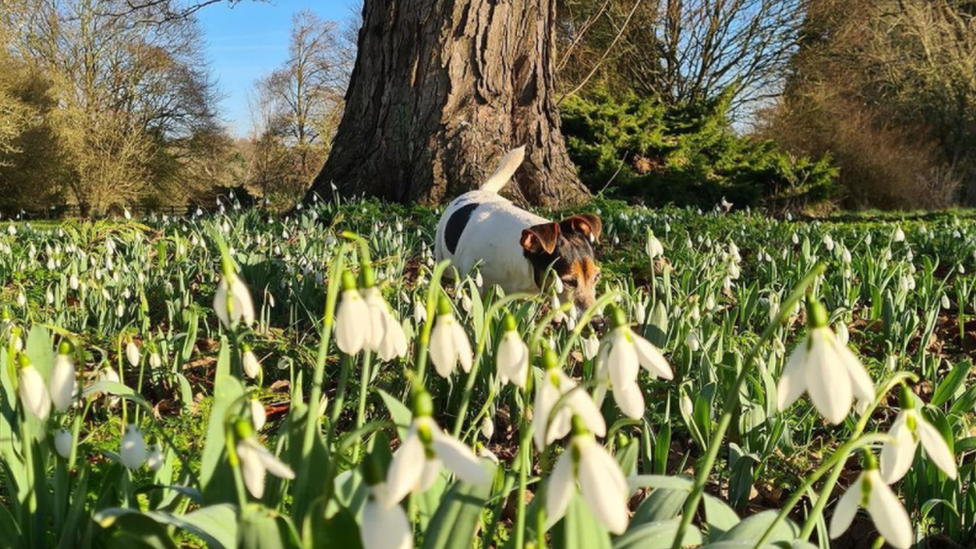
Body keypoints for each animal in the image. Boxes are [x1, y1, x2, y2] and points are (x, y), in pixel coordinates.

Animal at [434, 147, 604, 316]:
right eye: (569, 282)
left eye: (596, 277)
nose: (598, 321)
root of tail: (481, 190)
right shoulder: (474, 284)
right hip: (443, 259)